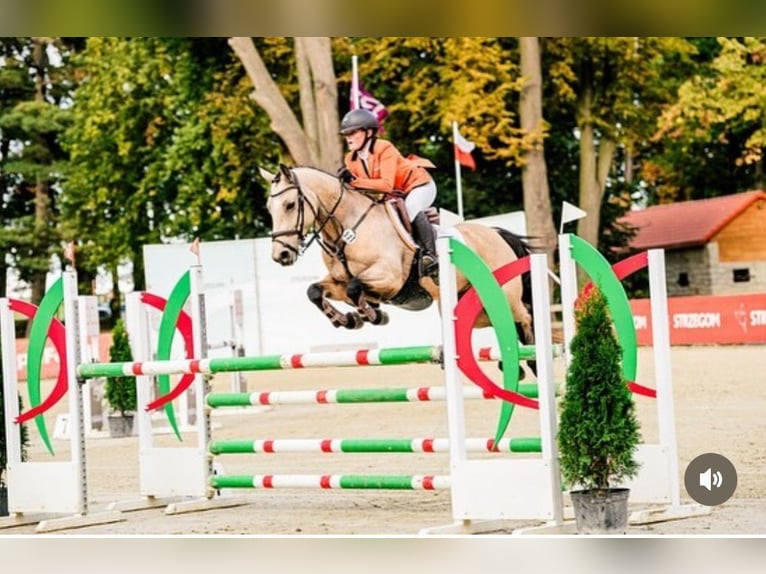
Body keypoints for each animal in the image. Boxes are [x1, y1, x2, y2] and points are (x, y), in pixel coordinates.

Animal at [260, 164, 536, 356]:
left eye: (290, 205)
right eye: (269, 209)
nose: (280, 255)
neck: (347, 229)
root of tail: (496, 233)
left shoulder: (390, 279)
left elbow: (355, 288)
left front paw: (373, 315)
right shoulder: (338, 282)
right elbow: (315, 291)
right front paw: (347, 320)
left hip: (505, 296)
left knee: (525, 317)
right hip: (473, 308)